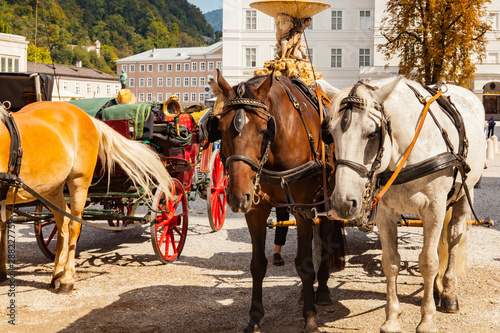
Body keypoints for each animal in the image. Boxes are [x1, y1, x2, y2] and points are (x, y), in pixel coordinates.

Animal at [0, 102, 172, 294]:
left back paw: (67, 279)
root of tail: (85, 115)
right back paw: (57, 272)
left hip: (79, 181)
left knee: (74, 224)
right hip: (51, 187)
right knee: (62, 221)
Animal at [209, 70, 346, 332]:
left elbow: (304, 265)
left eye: (264, 129)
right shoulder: (256, 210)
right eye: (219, 128)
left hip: (324, 202)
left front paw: (310, 317)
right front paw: (254, 318)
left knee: (324, 241)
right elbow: (257, 265)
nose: (237, 197)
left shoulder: (303, 208)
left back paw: (322, 291)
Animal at [322, 76, 486, 330]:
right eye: (330, 133)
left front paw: (427, 320)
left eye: (372, 133)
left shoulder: (433, 209)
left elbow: (428, 262)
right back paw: (436, 289)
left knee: (453, 238)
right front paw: (391, 319)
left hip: (462, 196)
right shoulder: (385, 214)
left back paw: (448, 292)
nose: (342, 203)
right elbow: (391, 262)